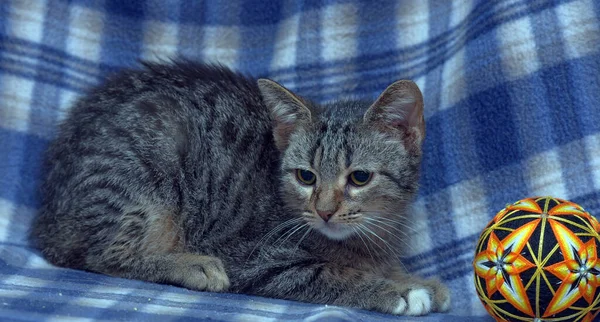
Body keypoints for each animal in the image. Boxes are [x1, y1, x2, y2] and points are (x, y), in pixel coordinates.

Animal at [29, 59, 450, 314]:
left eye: (359, 178)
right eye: (306, 177)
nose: (324, 210)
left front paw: (412, 279)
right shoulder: (253, 258)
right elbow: (329, 274)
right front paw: (395, 290)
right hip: (142, 178)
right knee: (102, 256)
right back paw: (189, 264)